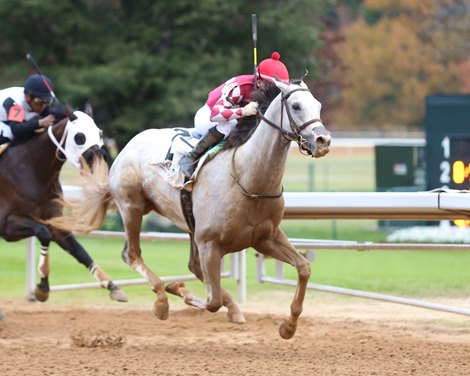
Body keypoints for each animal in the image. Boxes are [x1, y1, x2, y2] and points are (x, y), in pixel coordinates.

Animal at [0, 105, 126, 302]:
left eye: (99, 133)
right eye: (80, 136)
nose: (99, 158)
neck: (32, 171)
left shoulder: (55, 221)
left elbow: (79, 250)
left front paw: (112, 286)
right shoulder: (7, 225)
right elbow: (43, 233)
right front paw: (43, 287)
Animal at [68, 81, 330, 340]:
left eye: (318, 105)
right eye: (296, 106)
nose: (323, 140)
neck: (248, 178)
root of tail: (128, 146)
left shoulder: (265, 237)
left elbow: (304, 268)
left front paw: (288, 326)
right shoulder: (209, 243)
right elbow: (212, 301)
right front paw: (178, 288)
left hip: (189, 225)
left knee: (193, 267)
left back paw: (233, 310)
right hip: (132, 207)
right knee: (131, 254)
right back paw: (162, 301)